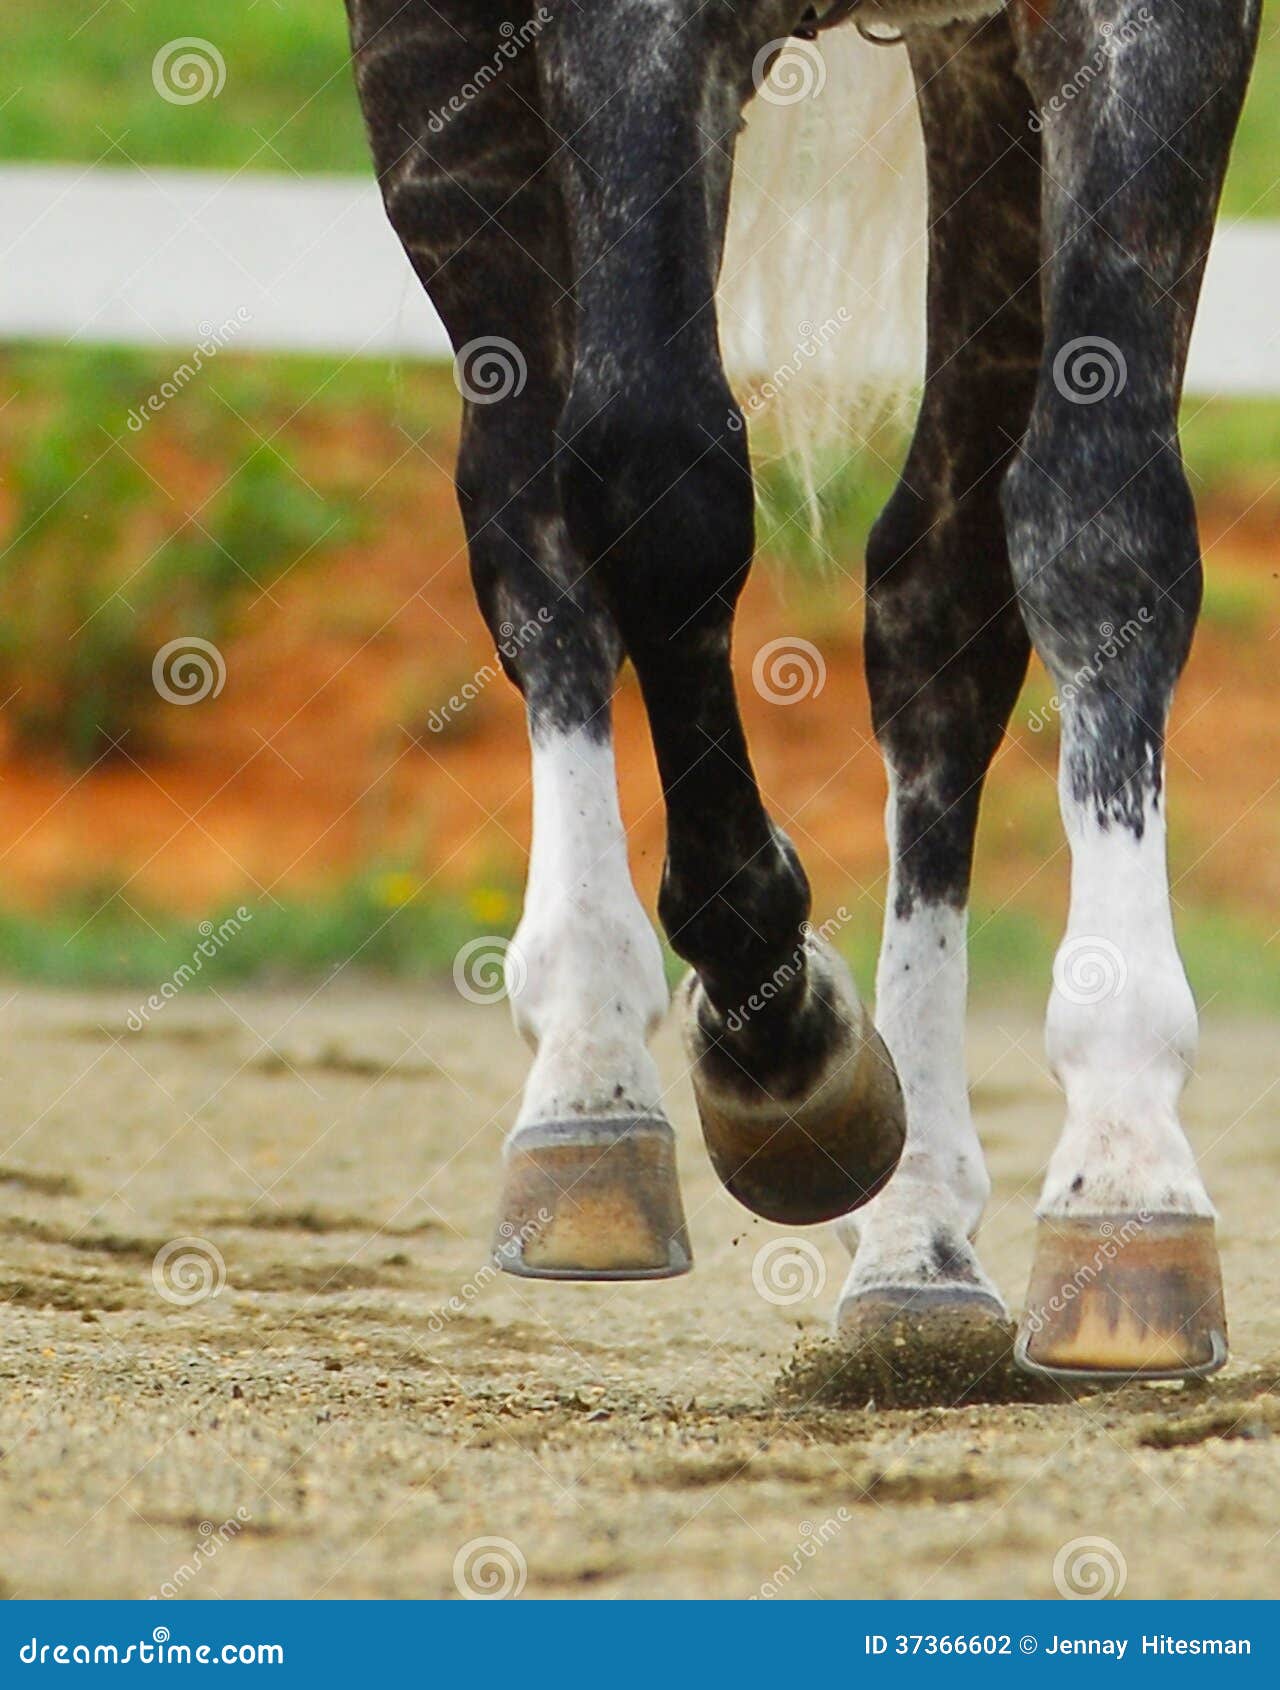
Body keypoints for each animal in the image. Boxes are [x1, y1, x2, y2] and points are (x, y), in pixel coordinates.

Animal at [344, 0, 1260, 1387]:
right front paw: (771, 1035)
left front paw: (1122, 1171)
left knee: (936, 595)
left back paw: (917, 1242)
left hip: (977, 83)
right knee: (533, 520)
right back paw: (590, 1084)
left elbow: (1097, 520)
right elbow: (654, 479)